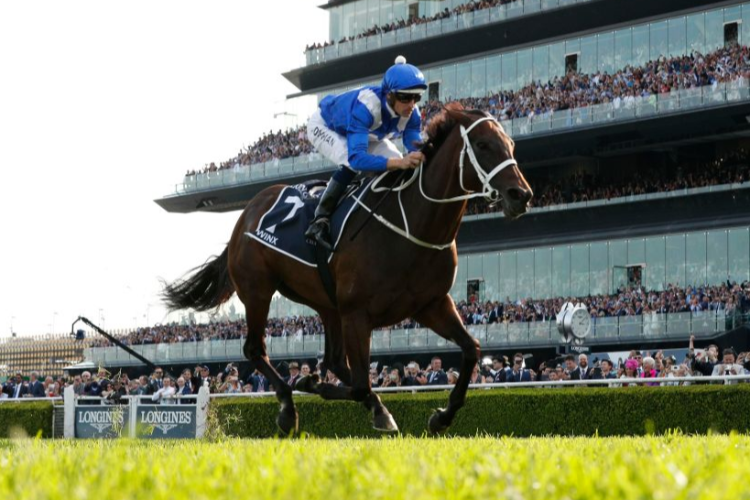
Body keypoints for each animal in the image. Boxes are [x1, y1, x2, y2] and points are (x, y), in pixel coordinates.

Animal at [163, 103, 536, 436]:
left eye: (511, 145)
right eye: (483, 145)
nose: (521, 194)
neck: (414, 224)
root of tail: (246, 214)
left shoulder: (431, 304)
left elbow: (471, 350)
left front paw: (441, 417)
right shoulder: (358, 312)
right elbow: (360, 384)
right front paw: (330, 392)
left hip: (328, 305)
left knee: (333, 361)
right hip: (258, 290)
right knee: (256, 350)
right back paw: (288, 408)